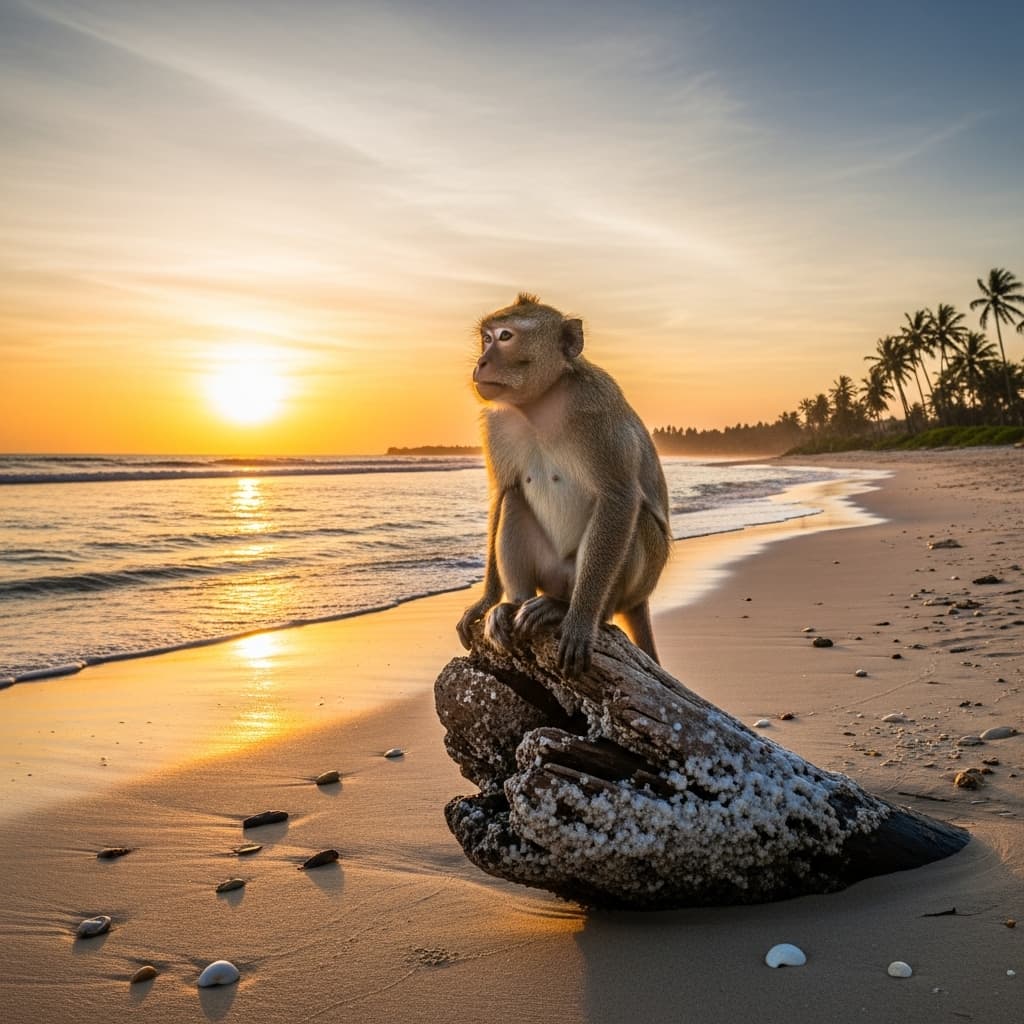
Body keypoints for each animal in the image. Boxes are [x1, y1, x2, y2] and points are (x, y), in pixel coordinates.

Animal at [456, 293, 671, 677]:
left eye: (506, 337)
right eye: (486, 338)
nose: (482, 361)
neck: (539, 403)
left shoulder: (597, 411)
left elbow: (618, 497)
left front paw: (581, 620)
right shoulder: (496, 424)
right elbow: (501, 493)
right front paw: (484, 601)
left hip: (630, 580)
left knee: (637, 520)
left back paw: (568, 609)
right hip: (550, 571)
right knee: (514, 499)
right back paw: (512, 606)